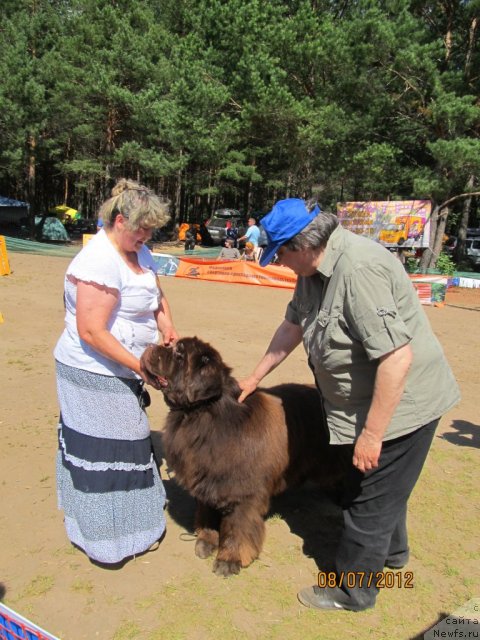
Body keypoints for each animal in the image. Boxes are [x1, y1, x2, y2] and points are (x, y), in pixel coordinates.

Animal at [141, 338, 346, 576]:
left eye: (179, 355)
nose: (150, 346)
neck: (205, 414)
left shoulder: (242, 492)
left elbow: (237, 528)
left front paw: (229, 560)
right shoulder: (207, 481)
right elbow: (206, 513)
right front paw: (206, 541)